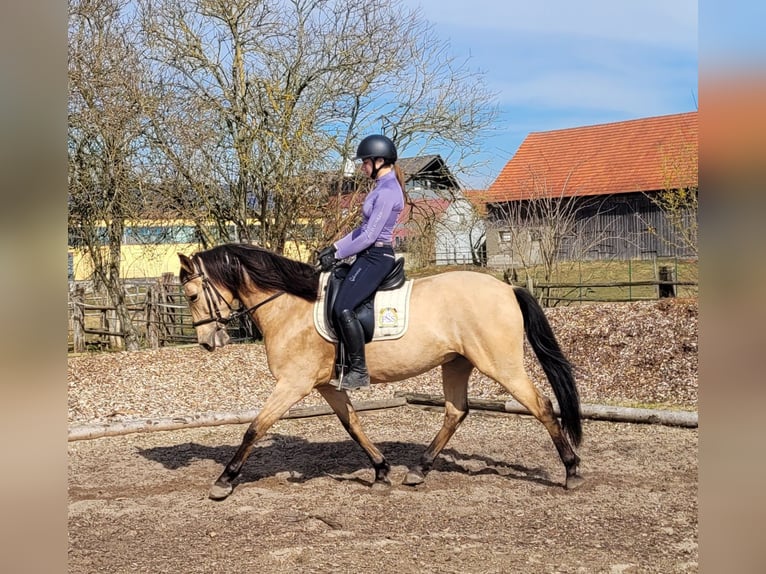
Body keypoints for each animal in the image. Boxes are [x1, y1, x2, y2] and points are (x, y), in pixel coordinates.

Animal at [177, 245, 584, 502]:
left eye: (192, 295)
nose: (207, 342)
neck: (290, 307)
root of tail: (507, 287)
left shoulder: (293, 384)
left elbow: (254, 428)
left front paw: (223, 481)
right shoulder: (326, 385)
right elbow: (353, 424)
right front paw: (381, 471)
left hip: (501, 365)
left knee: (542, 406)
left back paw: (572, 472)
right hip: (456, 362)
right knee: (455, 411)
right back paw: (418, 470)